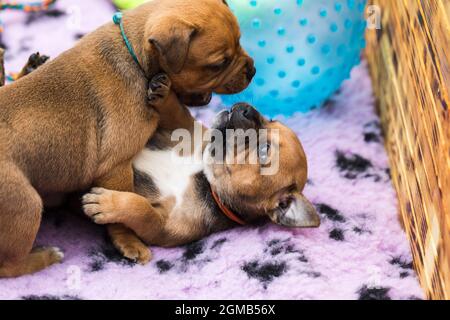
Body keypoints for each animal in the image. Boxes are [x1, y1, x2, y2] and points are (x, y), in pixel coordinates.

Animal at [0, 0, 253, 278]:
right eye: (219, 63)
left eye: (240, 40)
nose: (253, 70)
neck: (135, 59)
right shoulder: (116, 167)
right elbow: (124, 210)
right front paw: (130, 242)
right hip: (26, 206)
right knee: (9, 266)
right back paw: (46, 257)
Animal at [81, 75, 320, 250]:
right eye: (271, 120)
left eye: (264, 151)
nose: (247, 109)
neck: (205, 176)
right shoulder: (190, 133)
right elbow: (180, 116)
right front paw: (164, 94)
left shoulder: (164, 229)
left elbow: (142, 210)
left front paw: (107, 203)